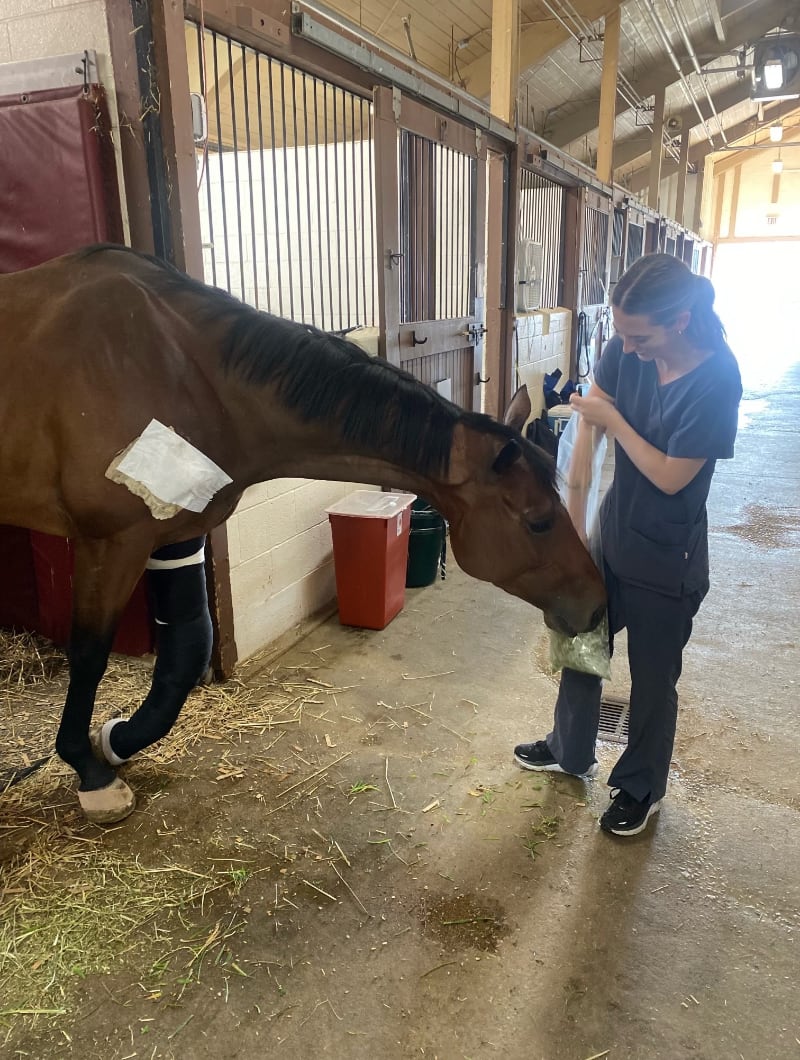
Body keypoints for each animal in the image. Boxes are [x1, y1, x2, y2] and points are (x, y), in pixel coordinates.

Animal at [0, 245, 606, 823]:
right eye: (538, 520)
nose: (597, 603)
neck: (180, 369)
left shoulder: (173, 534)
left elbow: (187, 653)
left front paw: (116, 740)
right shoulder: (110, 541)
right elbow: (89, 655)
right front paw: (91, 773)